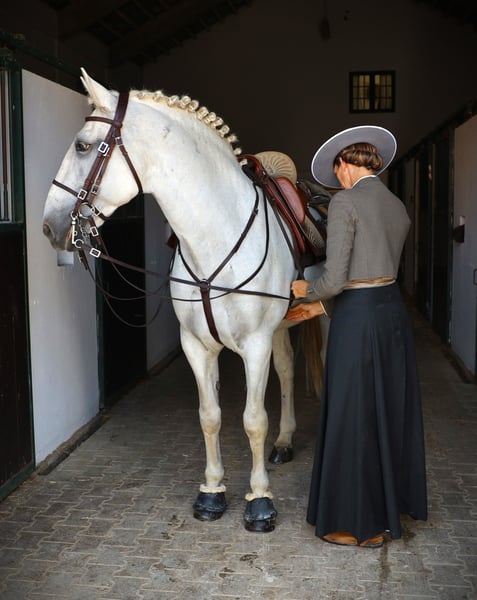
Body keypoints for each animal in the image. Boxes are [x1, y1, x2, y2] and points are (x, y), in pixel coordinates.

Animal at [42, 69, 329, 532]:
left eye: (83, 145)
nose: (49, 226)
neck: (216, 237)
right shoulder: (197, 345)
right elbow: (209, 416)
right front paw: (212, 492)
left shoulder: (254, 345)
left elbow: (253, 421)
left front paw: (260, 501)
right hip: (280, 329)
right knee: (286, 371)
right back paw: (285, 442)